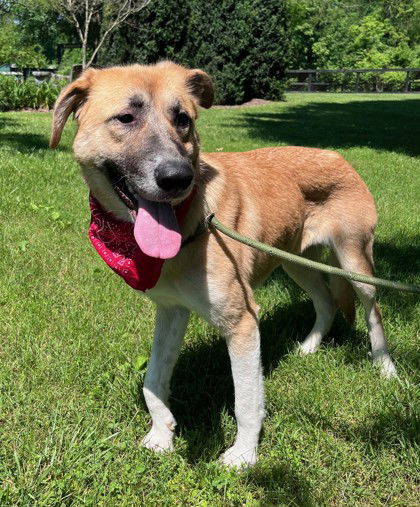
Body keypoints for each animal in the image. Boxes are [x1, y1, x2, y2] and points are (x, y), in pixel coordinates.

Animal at [50, 60, 398, 468]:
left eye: (182, 119)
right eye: (126, 118)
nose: (178, 178)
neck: (189, 224)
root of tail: (338, 155)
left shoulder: (242, 322)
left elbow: (246, 400)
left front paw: (243, 456)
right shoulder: (171, 309)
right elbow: (153, 378)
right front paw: (162, 433)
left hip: (354, 261)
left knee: (373, 313)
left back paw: (386, 368)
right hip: (296, 263)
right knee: (325, 300)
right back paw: (309, 347)